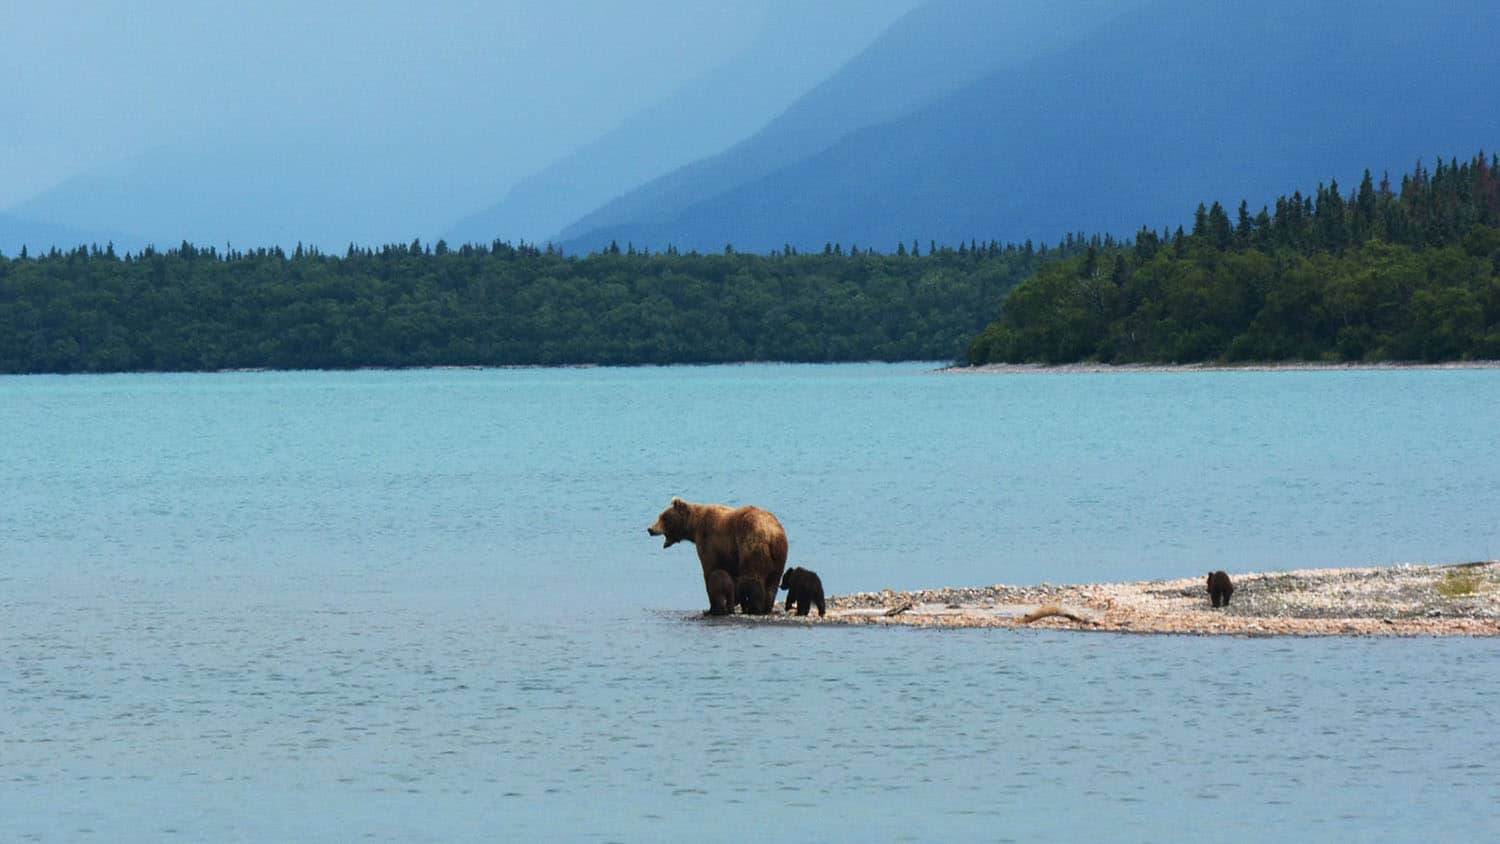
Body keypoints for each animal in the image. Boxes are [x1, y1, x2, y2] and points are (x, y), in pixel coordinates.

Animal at [648, 494, 792, 614]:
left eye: (662, 517)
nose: (650, 529)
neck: (694, 526)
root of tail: (773, 534)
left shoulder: (709, 541)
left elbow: (710, 571)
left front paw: (713, 608)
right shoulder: (729, 554)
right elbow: (730, 578)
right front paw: (730, 604)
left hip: (751, 544)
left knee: (752, 576)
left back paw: (754, 608)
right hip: (779, 555)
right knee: (773, 582)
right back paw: (766, 607)